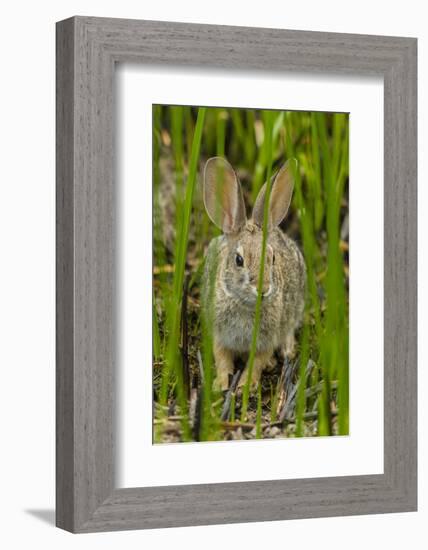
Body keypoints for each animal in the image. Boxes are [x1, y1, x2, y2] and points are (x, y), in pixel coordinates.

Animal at [202, 157, 306, 394]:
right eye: (239, 260)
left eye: (273, 258)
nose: (264, 289)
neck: (244, 304)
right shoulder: (220, 334)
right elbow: (222, 358)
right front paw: (221, 384)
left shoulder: (266, 339)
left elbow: (256, 362)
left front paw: (245, 387)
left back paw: (286, 352)